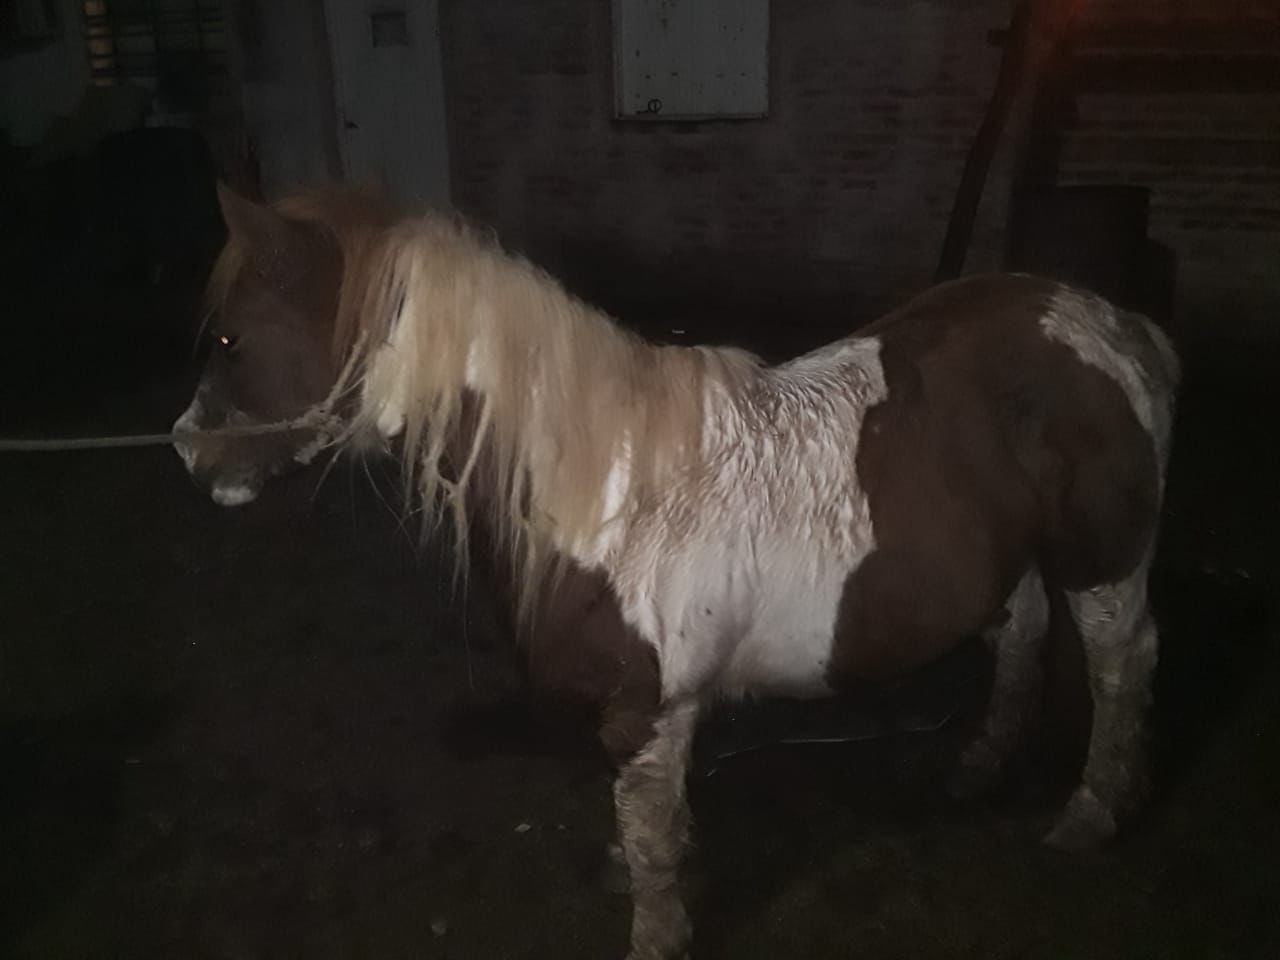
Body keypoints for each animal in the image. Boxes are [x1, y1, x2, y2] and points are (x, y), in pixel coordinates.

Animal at [173, 183, 1179, 960]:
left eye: (228, 340)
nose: (186, 450)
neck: (609, 492)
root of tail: (1115, 323)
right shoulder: (669, 713)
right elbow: (653, 824)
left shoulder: (644, 710)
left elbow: (650, 842)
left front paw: (658, 931)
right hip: (1012, 560)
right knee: (1021, 636)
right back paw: (980, 765)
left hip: (1103, 563)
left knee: (1121, 663)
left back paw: (1094, 810)